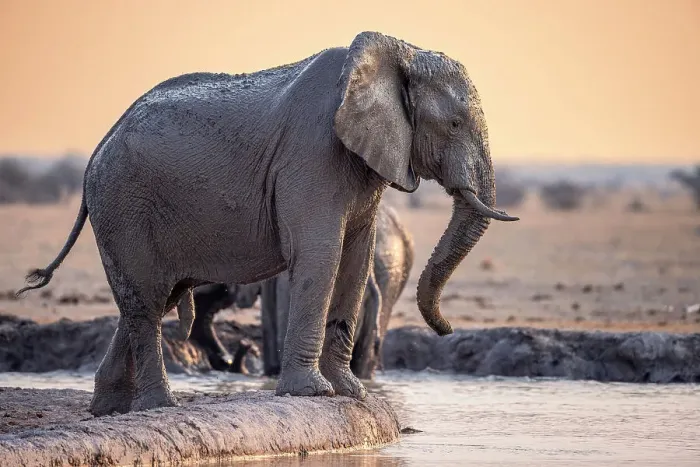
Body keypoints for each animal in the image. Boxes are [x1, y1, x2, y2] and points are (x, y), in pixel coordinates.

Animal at [17, 31, 519, 416]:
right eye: (454, 124)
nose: (446, 328)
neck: (398, 53)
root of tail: (97, 150)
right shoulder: (311, 154)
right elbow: (321, 254)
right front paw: (312, 393)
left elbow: (354, 260)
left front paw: (352, 394)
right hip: (123, 205)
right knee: (146, 301)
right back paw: (158, 406)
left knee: (151, 299)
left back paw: (109, 409)